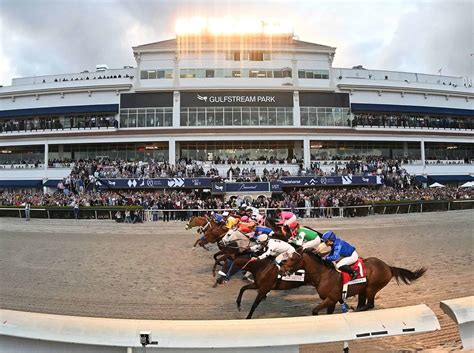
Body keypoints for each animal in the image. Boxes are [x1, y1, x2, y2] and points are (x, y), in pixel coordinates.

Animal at [280, 250, 428, 314]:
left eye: (293, 259)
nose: (282, 268)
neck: (323, 274)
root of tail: (388, 267)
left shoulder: (331, 298)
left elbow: (315, 311)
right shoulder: (332, 300)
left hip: (371, 288)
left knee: (369, 305)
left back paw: (354, 310)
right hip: (363, 290)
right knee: (364, 304)